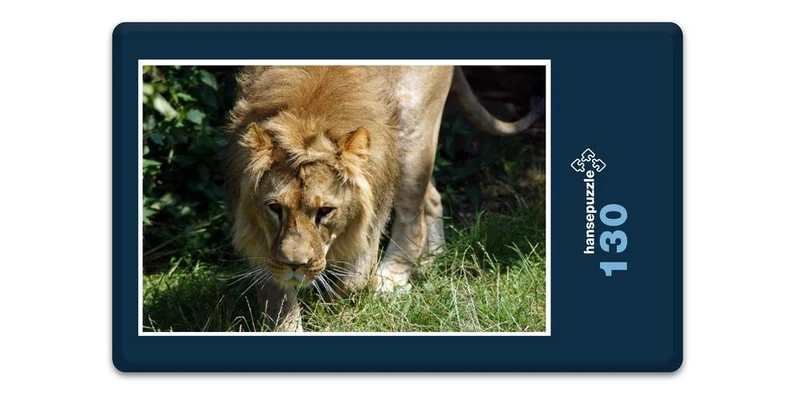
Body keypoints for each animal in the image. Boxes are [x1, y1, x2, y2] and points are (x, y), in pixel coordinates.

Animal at [224, 66, 540, 331]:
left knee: (413, 218)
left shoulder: (372, 209)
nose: (294, 265)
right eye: (275, 207)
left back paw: (391, 281)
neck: (310, 116)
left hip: (412, 128)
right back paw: (432, 259)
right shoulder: (259, 236)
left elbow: (354, 280)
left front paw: (331, 308)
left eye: (325, 211)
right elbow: (277, 301)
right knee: (433, 197)